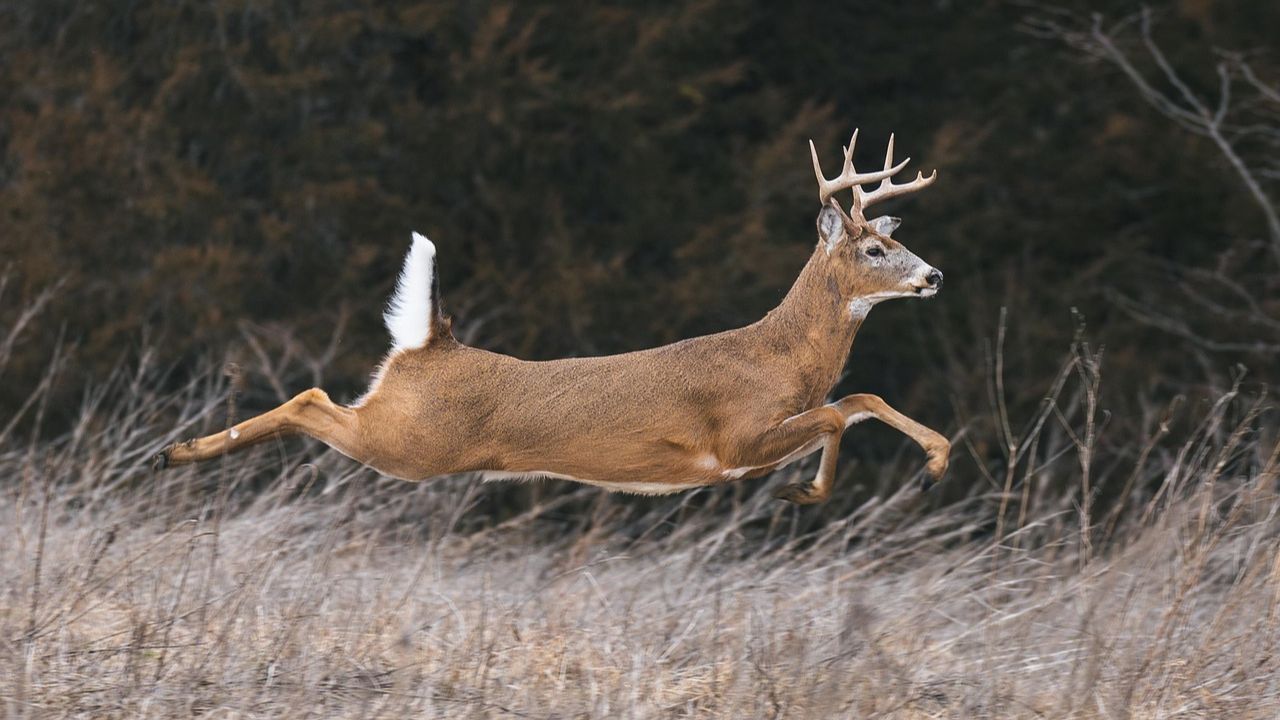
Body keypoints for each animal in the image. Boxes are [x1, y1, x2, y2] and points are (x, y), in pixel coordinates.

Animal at [154, 130, 950, 505]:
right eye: (876, 248)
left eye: (897, 241)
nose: (933, 275)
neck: (780, 358)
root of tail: (433, 343)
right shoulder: (733, 439)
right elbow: (835, 414)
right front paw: (806, 490)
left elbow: (858, 397)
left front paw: (936, 463)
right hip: (409, 440)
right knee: (312, 398)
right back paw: (178, 453)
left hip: (402, 429)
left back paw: (180, 453)